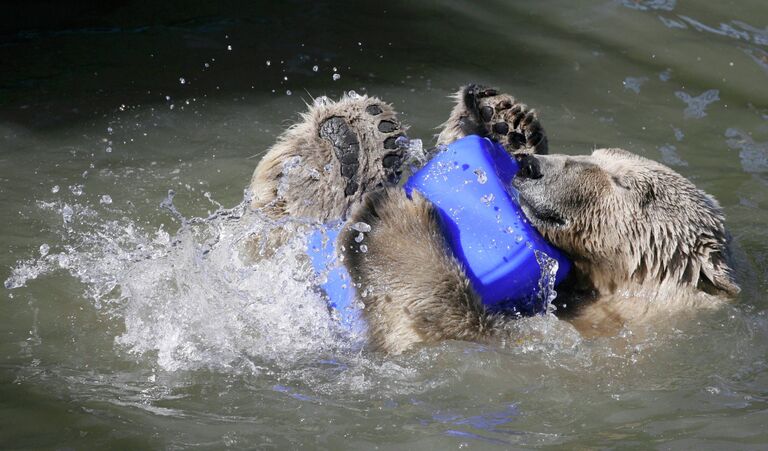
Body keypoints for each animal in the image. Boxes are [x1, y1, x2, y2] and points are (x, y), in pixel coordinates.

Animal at [248, 84, 736, 354]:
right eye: (594, 155)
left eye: (621, 182)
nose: (533, 167)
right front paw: (502, 122)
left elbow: (435, 331)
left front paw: (395, 223)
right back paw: (349, 144)